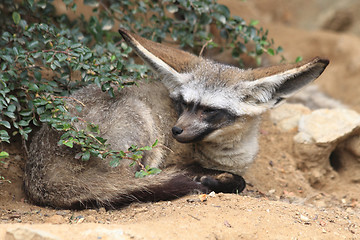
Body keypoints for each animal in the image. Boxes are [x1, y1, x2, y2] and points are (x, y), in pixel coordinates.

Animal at [23, 27, 330, 208]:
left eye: (209, 110)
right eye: (183, 104)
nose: (176, 131)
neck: (226, 156)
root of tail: (39, 177)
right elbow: (219, 176)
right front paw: (214, 179)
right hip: (142, 127)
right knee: (132, 184)